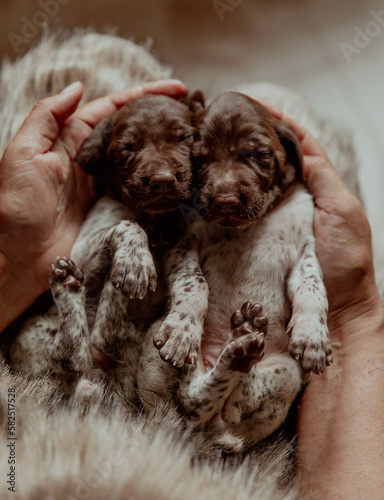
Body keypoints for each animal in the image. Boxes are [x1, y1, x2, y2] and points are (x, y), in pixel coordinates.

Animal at [138, 92, 332, 452]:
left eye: (257, 155)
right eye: (200, 160)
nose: (226, 200)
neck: (253, 224)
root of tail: (206, 435)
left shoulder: (304, 251)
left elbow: (313, 287)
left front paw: (312, 335)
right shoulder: (185, 244)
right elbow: (194, 283)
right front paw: (183, 329)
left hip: (287, 374)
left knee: (237, 403)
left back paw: (244, 342)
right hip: (156, 346)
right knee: (193, 399)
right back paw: (236, 346)